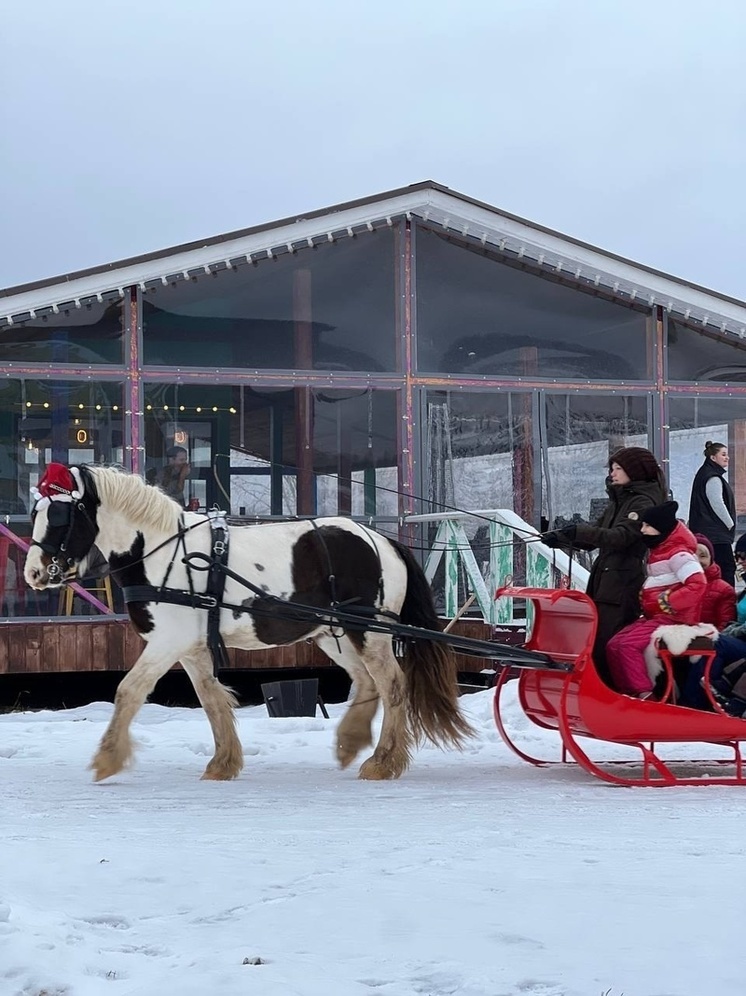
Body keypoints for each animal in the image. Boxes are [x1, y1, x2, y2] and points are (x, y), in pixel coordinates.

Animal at [24, 462, 470, 784]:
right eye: (36, 512)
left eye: (59, 515)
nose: (34, 572)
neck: (162, 551)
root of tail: (382, 540)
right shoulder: (191, 646)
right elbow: (210, 698)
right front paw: (223, 763)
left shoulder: (168, 641)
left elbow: (128, 691)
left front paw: (107, 759)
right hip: (334, 633)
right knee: (366, 682)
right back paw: (351, 742)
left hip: (370, 631)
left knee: (393, 684)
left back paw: (384, 761)